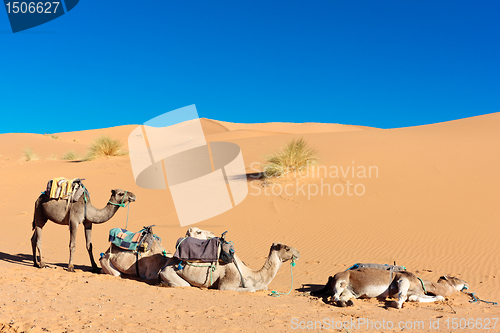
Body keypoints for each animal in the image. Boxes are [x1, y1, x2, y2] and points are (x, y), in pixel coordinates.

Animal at [161, 241, 300, 290]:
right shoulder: (226, 283)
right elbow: (252, 289)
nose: (298, 252)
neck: (248, 275)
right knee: (184, 284)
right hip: (169, 272)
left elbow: (264, 288)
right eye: (287, 248)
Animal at [310, 266, 466, 308]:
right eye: (456, 278)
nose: (466, 282)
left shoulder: (414, 294)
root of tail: (332, 276)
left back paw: (347, 303)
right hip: (341, 279)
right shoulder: (403, 280)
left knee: (343, 296)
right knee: (334, 295)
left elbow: (416, 298)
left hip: (350, 291)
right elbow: (401, 295)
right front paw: (396, 304)